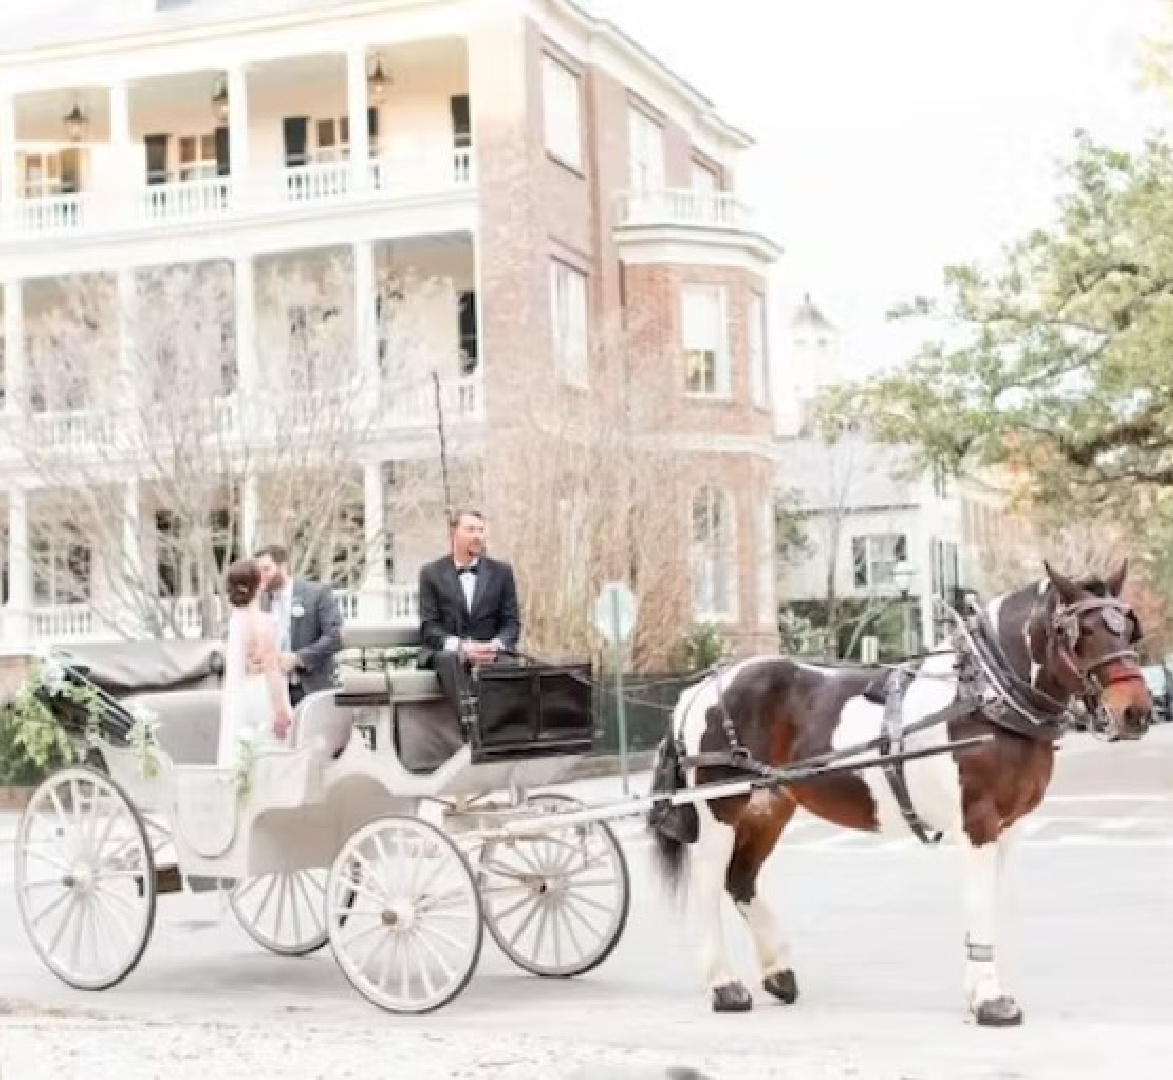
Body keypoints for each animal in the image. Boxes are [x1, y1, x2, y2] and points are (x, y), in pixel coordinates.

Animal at [652, 560, 1154, 1022]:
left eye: (1127, 629)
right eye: (1080, 632)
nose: (1136, 712)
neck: (984, 699)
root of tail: (701, 688)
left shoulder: (1008, 826)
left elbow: (987, 904)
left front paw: (978, 989)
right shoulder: (978, 823)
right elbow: (979, 902)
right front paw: (990, 999)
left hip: (768, 809)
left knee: (741, 880)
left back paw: (779, 972)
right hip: (721, 809)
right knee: (708, 883)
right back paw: (725, 985)